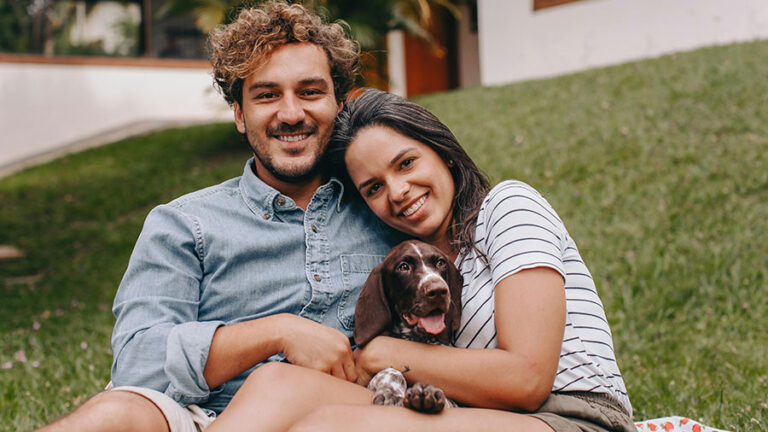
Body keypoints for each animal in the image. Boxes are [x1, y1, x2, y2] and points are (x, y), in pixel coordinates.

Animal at [354, 241, 462, 414]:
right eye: (403, 267)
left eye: (440, 263)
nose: (438, 290)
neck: (417, 337)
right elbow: (390, 372)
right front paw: (391, 392)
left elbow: (449, 401)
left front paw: (430, 395)